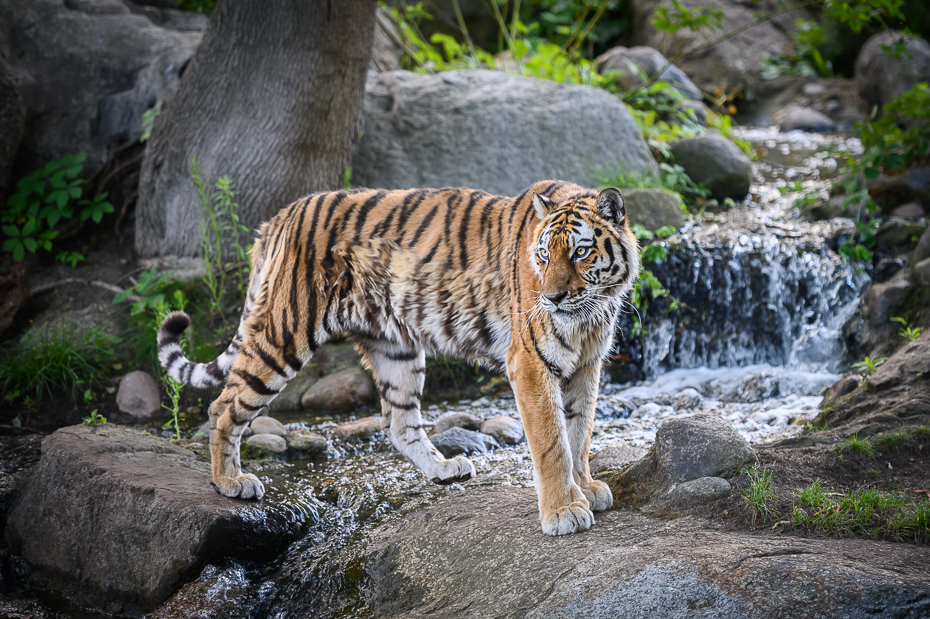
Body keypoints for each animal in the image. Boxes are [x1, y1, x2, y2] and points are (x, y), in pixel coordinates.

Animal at [158, 180, 640, 536]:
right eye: (543, 254)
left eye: (580, 251)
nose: (552, 298)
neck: (591, 311)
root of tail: (280, 216)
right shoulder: (531, 363)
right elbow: (552, 441)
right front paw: (563, 511)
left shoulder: (587, 366)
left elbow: (579, 433)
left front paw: (585, 488)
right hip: (284, 335)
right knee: (224, 405)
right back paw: (230, 482)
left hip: (396, 348)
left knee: (398, 423)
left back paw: (444, 469)